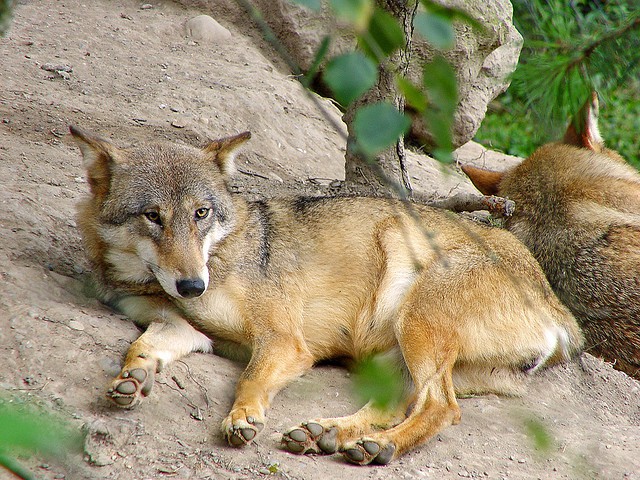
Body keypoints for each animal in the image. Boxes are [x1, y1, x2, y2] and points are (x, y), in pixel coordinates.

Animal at [70, 124, 584, 464]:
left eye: (201, 213)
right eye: (152, 216)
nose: (193, 285)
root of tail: (557, 307)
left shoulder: (284, 340)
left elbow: (250, 379)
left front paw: (243, 418)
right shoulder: (183, 327)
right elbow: (141, 346)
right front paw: (133, 379)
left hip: (412, 320)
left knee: (441, 408)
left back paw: (379, 447)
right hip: (391, 355)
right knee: (401, 404)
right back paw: (328, 436)